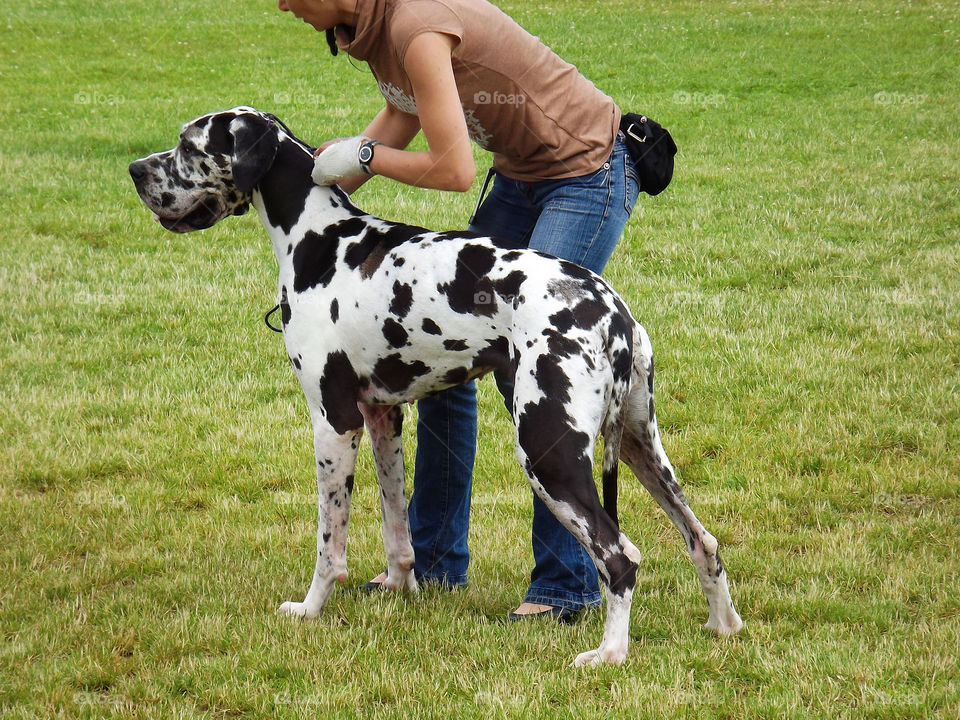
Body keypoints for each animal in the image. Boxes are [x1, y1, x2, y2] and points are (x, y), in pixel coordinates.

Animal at [127, 108, 744, 668]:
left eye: (189, 146)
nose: (134, 169)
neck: (320, 239)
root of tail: (614, 311)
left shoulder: (333, 422)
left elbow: (330, 542)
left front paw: (310, 609)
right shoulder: (382, 417)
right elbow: (396, 525)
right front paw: (402, 590)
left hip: (550, 453)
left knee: (621, 555)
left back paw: (610, 654)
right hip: (642, 447)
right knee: (703, 540)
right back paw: (723, 626)